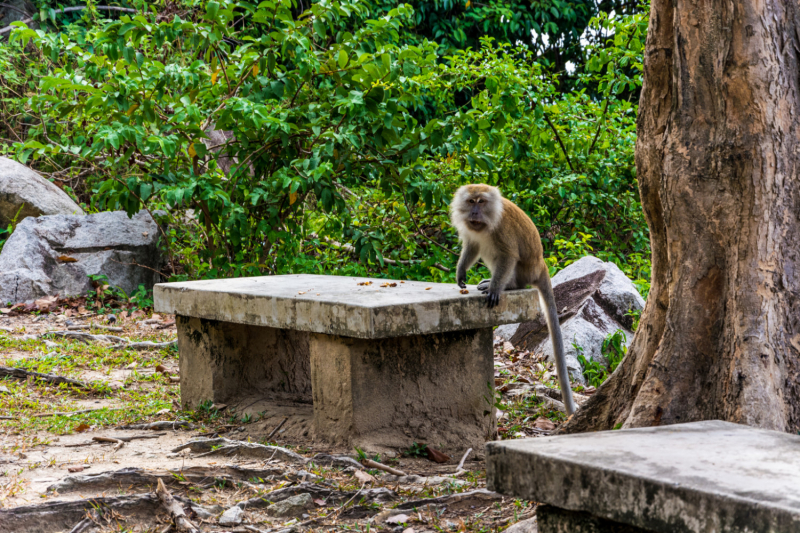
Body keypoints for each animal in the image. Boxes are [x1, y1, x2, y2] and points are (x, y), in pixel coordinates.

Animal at [450, 185, 576, 414]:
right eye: (471, 201)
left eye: (481, 202)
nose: (474, 213)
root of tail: (541, 264)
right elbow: (473, 245)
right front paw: (461, 272)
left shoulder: (502, 229)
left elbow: (508, 255)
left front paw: (495, 289)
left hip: (524, 271)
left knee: (505, 258)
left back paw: (506, 286)